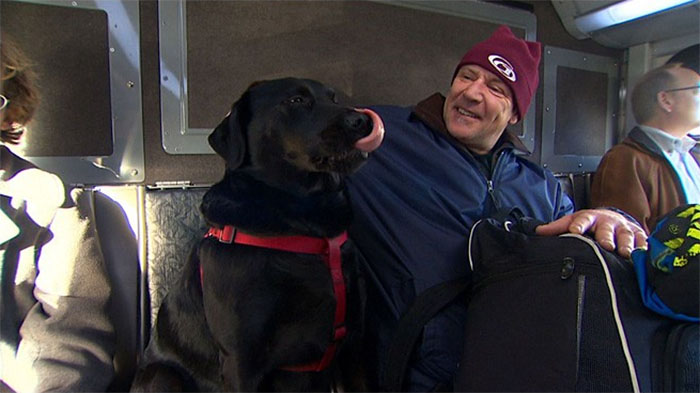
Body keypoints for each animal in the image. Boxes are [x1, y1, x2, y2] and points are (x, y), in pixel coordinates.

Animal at [131, 78, 382, 390]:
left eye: (334, 99)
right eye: (296, 100)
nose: (362, 121)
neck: (307, 223)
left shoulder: (354, 345)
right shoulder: (240, 358)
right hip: (163, 376)